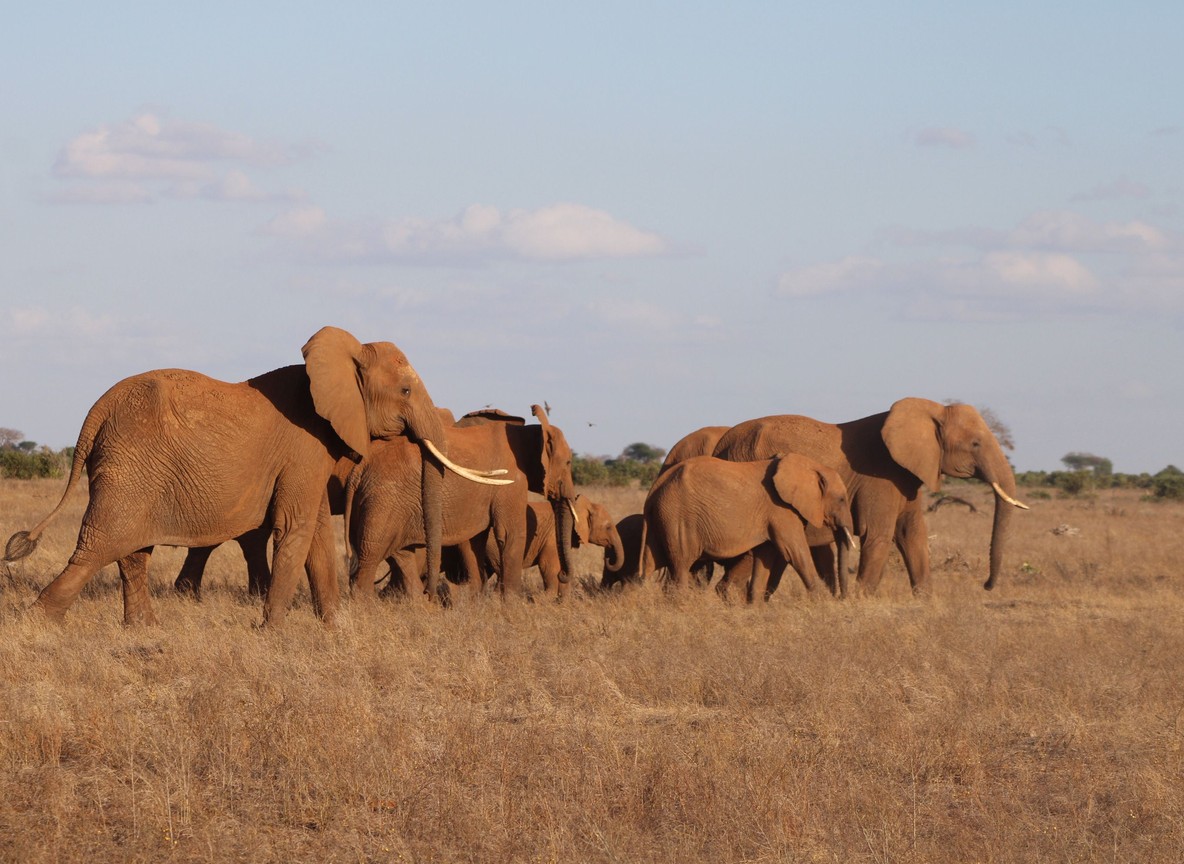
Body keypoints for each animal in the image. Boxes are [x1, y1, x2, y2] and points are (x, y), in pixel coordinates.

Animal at [3, 327, 502, 626]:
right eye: (405, 390)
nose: (436, 600)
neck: (344, 356)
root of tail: (95, 410)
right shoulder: (305, 445)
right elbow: (295, 528)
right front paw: (273, 629)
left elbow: (315, 533)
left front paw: (332, 627)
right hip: (130, 463)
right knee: (99, 545)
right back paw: (38, 624)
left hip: (133, 468)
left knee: (131, 551)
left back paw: (142, 628)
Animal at [346, 405, 577, 598]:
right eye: (568, 462)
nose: (563, 575)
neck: (531, 433)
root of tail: (359, 469)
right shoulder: (512, 481)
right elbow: (510, 534)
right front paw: (512, 606)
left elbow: (474, 540)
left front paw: (477, 601)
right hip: (383, 503)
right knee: (371, 554)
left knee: (401, 555)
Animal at [640, 453, 855, 596]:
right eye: (842, 499)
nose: (841, 599)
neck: (809, 465)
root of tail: (655, 488)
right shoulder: (781, 510)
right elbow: (795, 553)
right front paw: (822, 602)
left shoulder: (771, 516)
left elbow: (765, 555)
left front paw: (754, 608)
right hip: (678, 518)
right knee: (681, 567)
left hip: (662, 520)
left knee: (648, 569)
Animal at [712, 398, 1029, 595]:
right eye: (975, 444)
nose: (986, 585)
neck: (932, 410)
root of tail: (720, 444)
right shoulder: (881, 477)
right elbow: (879, 536)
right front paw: (862, 604)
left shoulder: (906, 476)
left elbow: (913, 533)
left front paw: (927, 603)